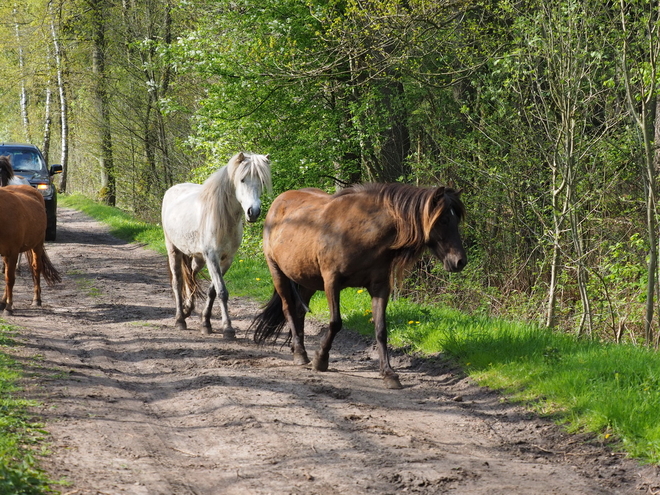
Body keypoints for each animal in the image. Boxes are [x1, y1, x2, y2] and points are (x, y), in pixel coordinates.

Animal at [0, 184, 61, 316]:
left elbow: (10, 279)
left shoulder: (12, 252)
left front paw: (9, 307)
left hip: (37, 244)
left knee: (36, 268)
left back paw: (36, 299)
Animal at [162, 151, 270, 338]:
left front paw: (206, 323)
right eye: (242, 179)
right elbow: (222, 292)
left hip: (198, 258)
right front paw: (228, 328)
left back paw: (188, 309)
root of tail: (172, 189)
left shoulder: (226, 259)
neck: (224, 219)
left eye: (262, 181)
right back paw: (180, 319)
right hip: (173, 250)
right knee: (178, 282)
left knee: (191, 275)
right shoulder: (212, 257)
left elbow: (213, 291)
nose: (253, 212)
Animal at [250, 184, 466, 390]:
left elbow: (381, 330)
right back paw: (300, 354)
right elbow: (335, 322)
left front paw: (389, 374)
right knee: (288, 309)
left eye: (456, 220)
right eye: (443, 220)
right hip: (278, 272)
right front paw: (321, 359)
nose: (460, 261)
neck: (363, 232)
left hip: (306, 279)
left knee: (298, 311)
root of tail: (279, 201)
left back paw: (299, 349)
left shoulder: (380, 288)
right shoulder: (331, 281)